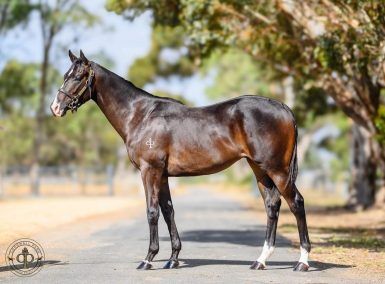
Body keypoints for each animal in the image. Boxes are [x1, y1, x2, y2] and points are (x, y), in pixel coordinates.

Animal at [50, 50, 308, 272]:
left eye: (78, 77)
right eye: (65, 76)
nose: (55, 107)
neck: (140, 115)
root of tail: (283, 107)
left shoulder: (149, 171)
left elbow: (152, 211)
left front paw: (148, 259)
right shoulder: (163, 175)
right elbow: (168, 211)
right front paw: (173, 259)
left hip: (277, 170)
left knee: (296, 202)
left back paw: (302, 262)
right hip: (260, 170)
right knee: (272, 205)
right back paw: (260, 260)